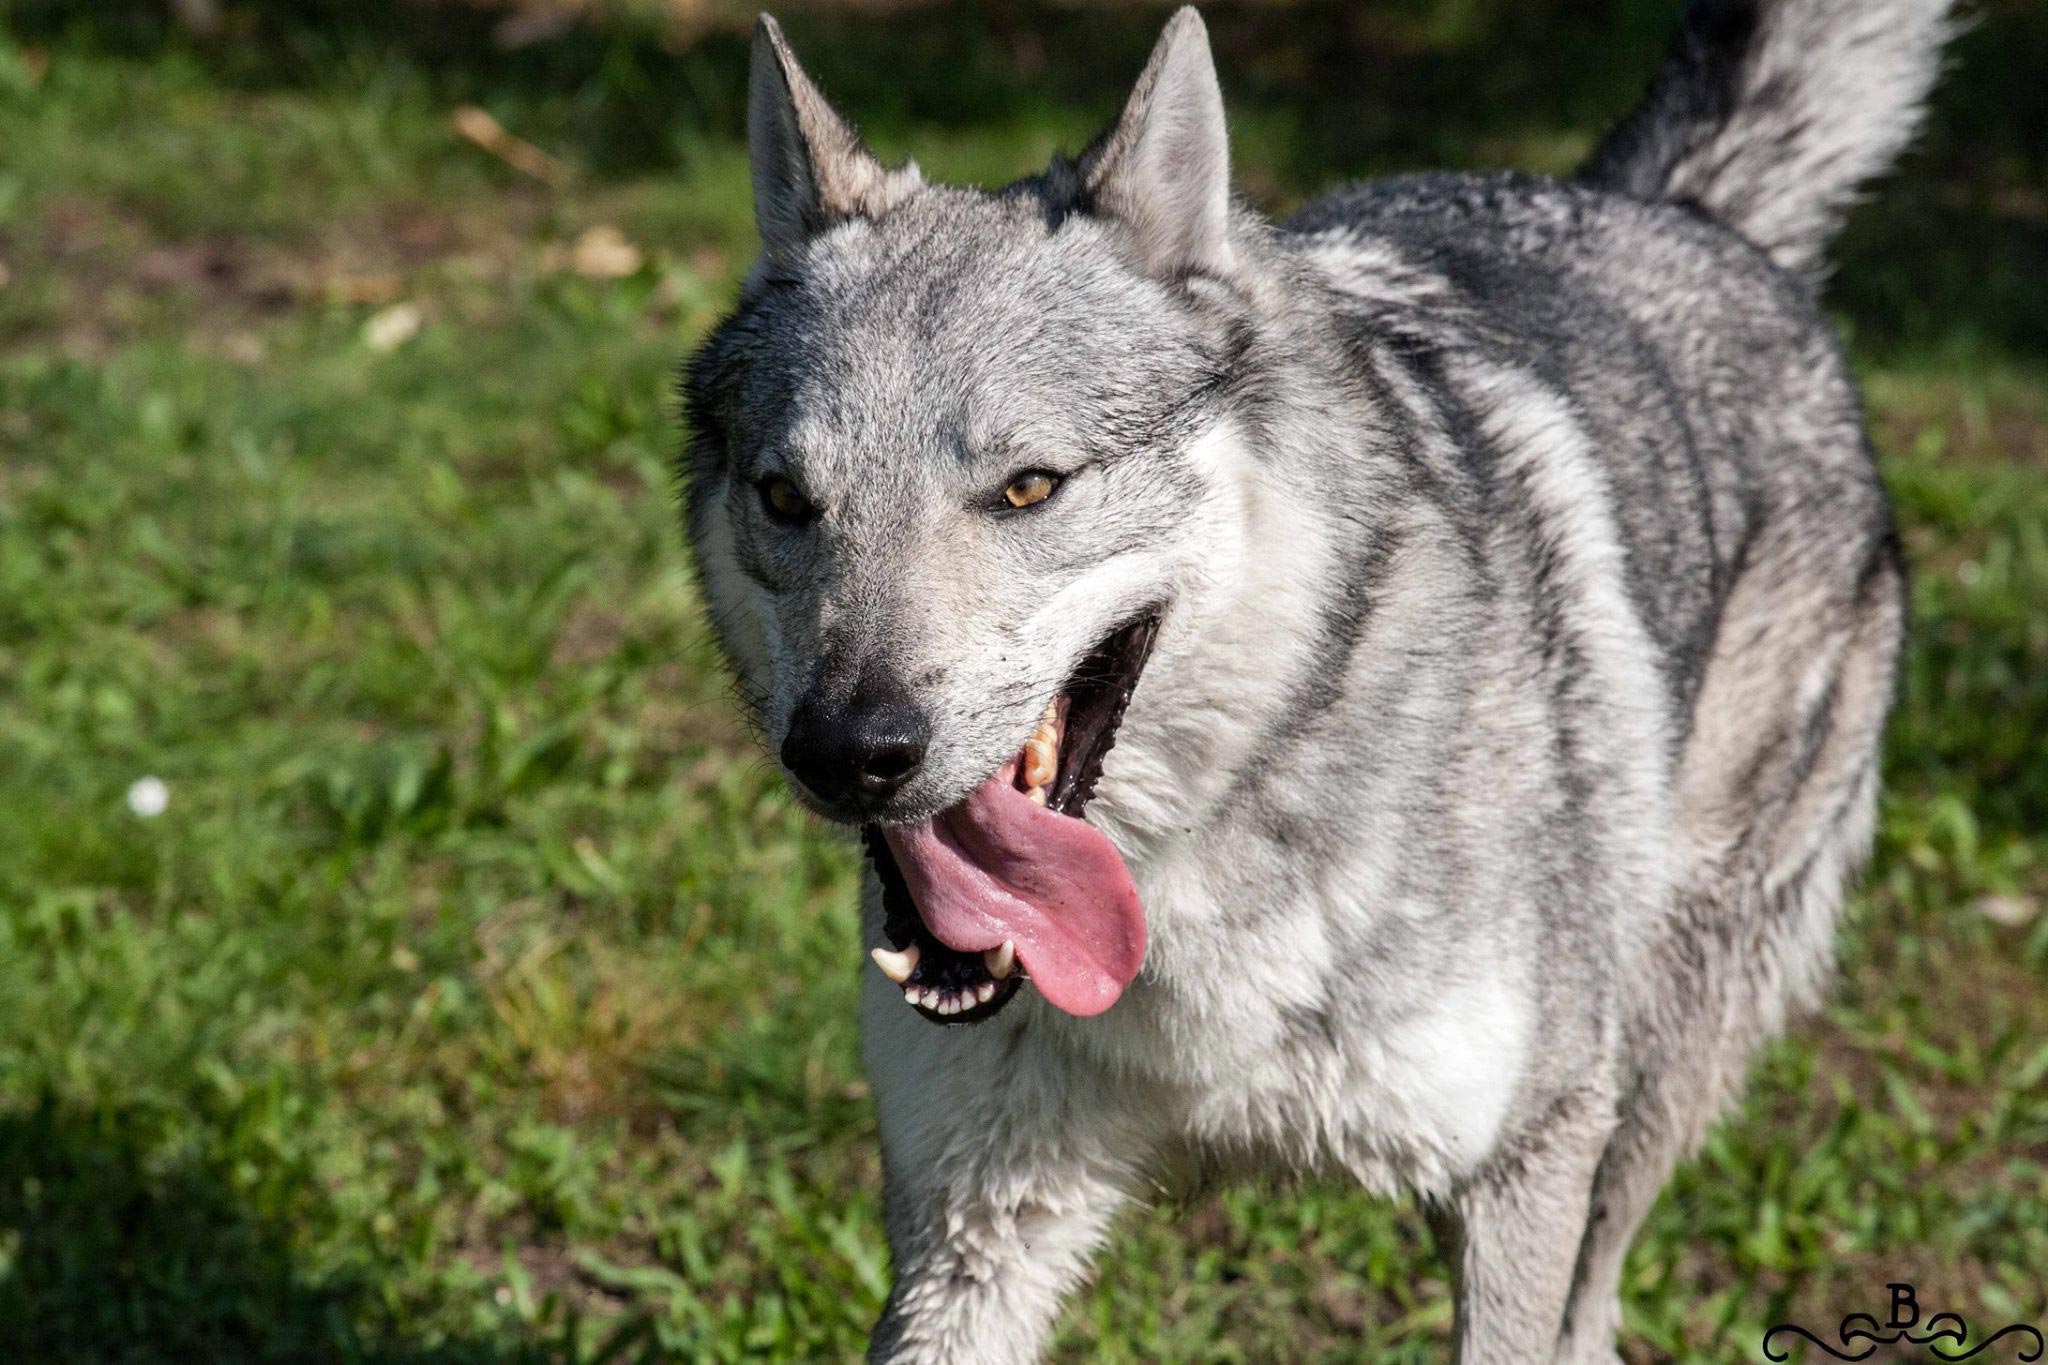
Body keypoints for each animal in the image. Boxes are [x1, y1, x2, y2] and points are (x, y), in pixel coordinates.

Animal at [680, 0, 1948, 1358]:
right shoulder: (972, 1226)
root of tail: (1666, 204)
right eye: (785, 500)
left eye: (1027, 488)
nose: (846, 754)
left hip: (1653, 1068)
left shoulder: (1529, 1160)